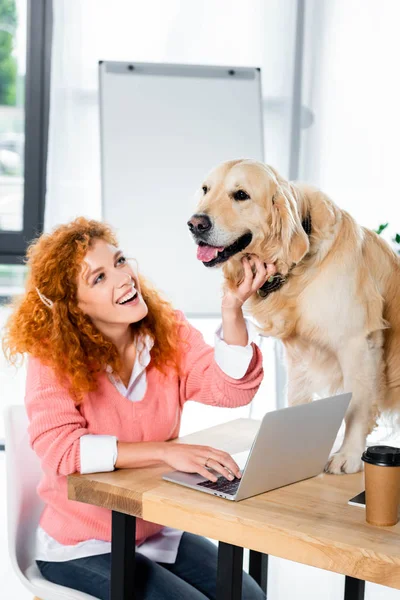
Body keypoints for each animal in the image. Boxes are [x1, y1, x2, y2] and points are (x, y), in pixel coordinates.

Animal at [187, 159, 400, 474]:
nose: (195, 224)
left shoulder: (358, 342)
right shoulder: (298, 354)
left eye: (241, 195)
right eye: (205, 189)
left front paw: (348, 455)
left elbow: (358, 402)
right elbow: (297, 397)